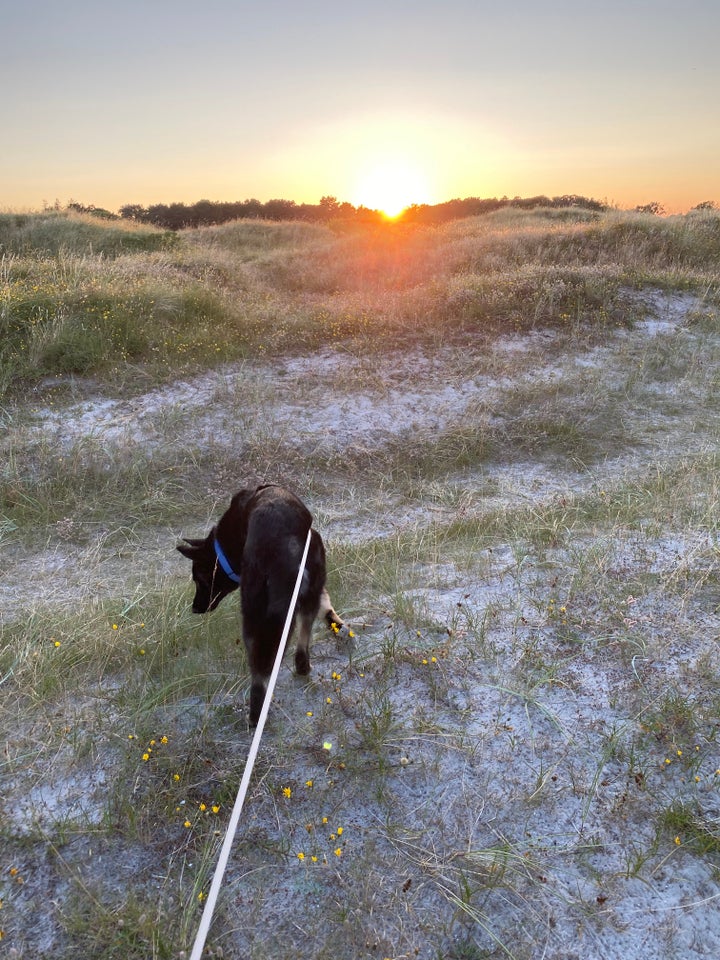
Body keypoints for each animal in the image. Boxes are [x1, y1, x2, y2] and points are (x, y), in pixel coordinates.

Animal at [175, 484, 344, 724]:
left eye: (199, 579)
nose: (195, 608)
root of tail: (270, 547)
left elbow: (325, 604)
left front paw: (336, 624)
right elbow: (321, 605)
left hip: (253, 613)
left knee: (258, 666)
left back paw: (256, 713)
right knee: (300, 636)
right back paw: (300, 668)